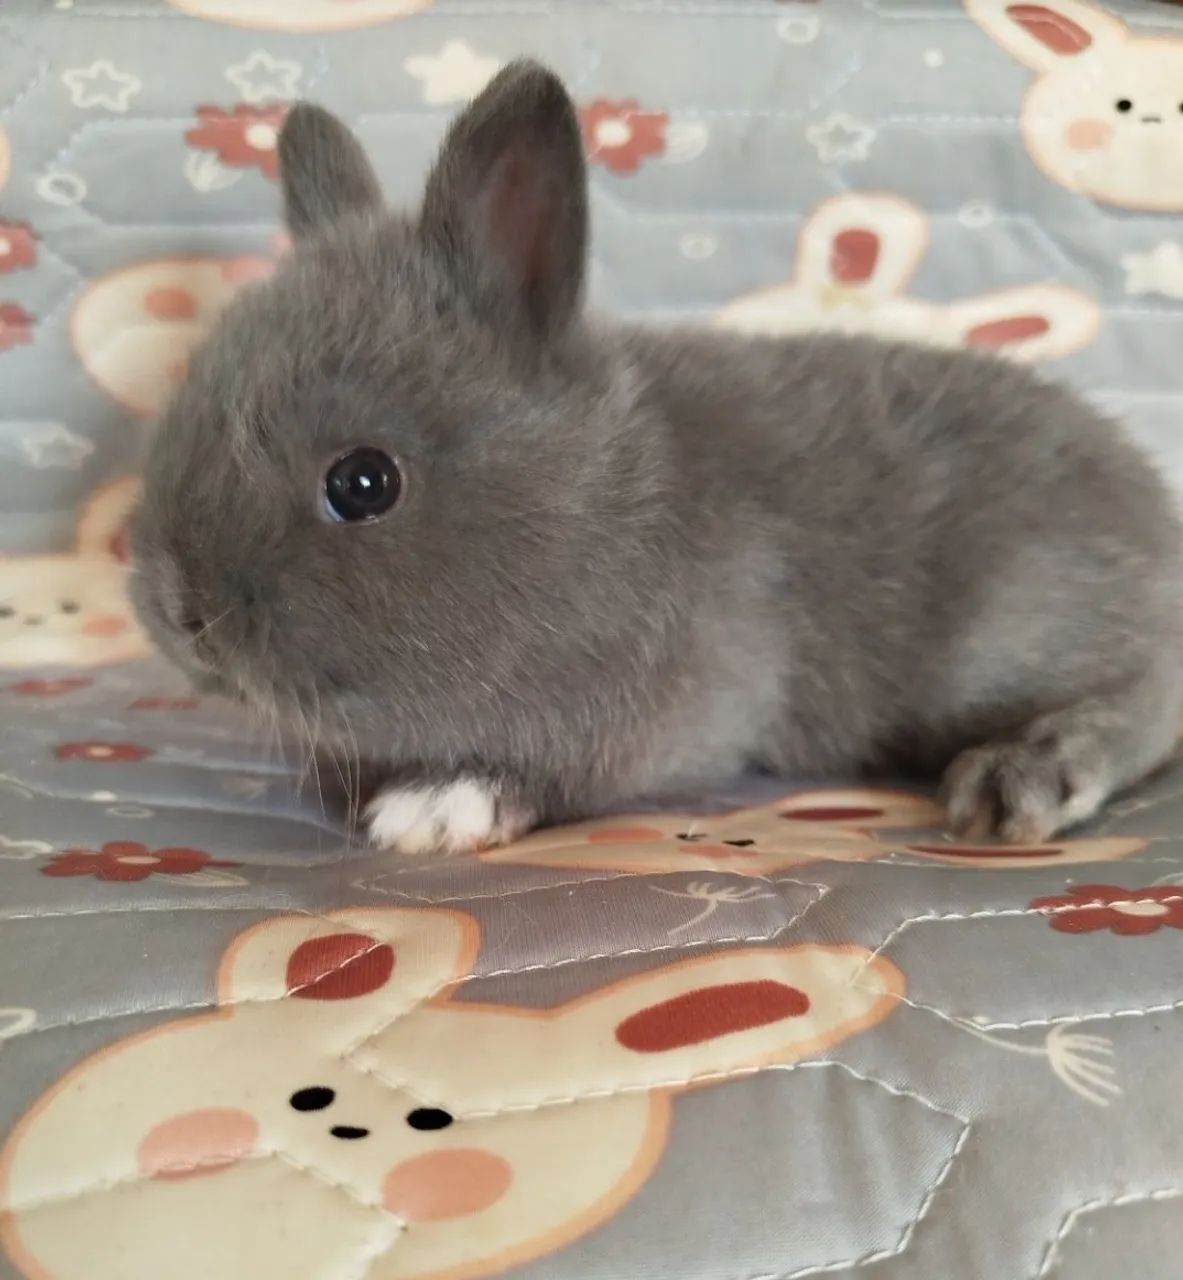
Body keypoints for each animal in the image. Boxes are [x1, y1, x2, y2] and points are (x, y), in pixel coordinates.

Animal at [129, 60, 1183, 856]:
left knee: (1146, 698)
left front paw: (431, 809)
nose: (183, 618)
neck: (591, 498)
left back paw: (1020, 780)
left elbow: (548, 773)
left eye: (363, 483)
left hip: (1021, 626)